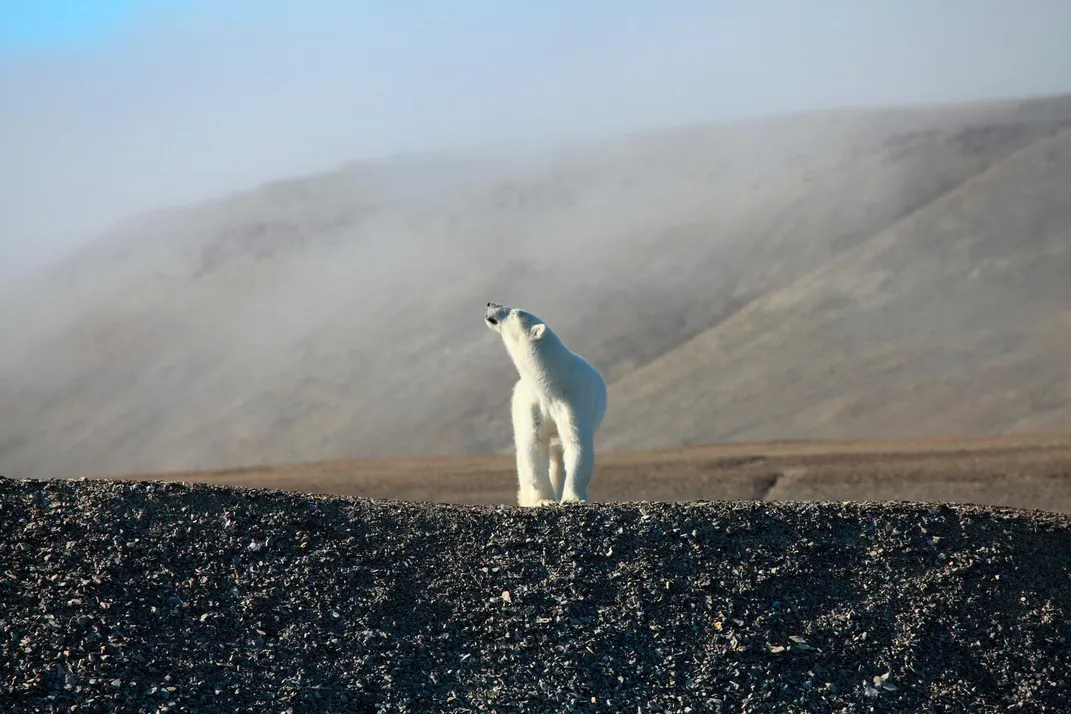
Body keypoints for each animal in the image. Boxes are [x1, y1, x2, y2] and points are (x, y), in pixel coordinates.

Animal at [484, 301, 608, 507]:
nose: (490, 303)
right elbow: (533, 443)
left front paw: (573, 498)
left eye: (514, 312)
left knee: (558, 456)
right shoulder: (534, 403)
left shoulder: (572, 401)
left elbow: (576, 443)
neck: (551, 384)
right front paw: (544, 500)